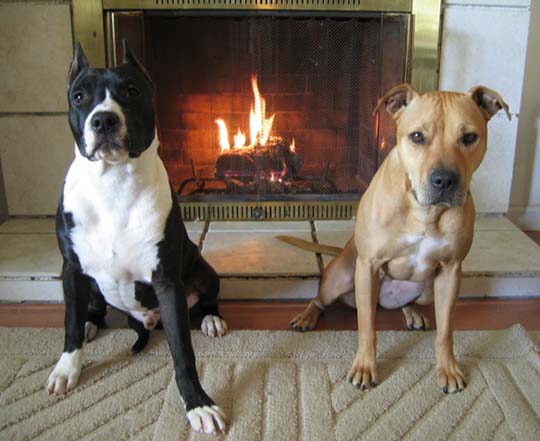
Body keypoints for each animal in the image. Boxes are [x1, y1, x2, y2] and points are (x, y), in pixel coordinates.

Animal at [47, 43, 230, 434]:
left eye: (131, 91)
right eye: (79, 96)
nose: (103, 120)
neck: (114, 182)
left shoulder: (166, 282)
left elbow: (183, 352)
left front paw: (198, 404)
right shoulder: (71, 268)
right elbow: (69, 323)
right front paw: (67, 368)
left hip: (202, 269)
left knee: (207, 297)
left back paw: (210, 319)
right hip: (88, 282)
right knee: (90, 309)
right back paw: (90, 323)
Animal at [288, 83, 508, 392]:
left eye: (469, 137)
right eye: (417, 136)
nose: (444, 180)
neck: (424, 211)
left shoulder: (451, 271)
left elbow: (446, 331)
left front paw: (448, 368)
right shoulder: (368, 265)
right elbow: (367, 327)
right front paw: (365, 367)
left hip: (428, 289)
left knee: (408, 302)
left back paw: (412, 313)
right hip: (340, 278)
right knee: (320, 299)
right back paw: (307, 317)